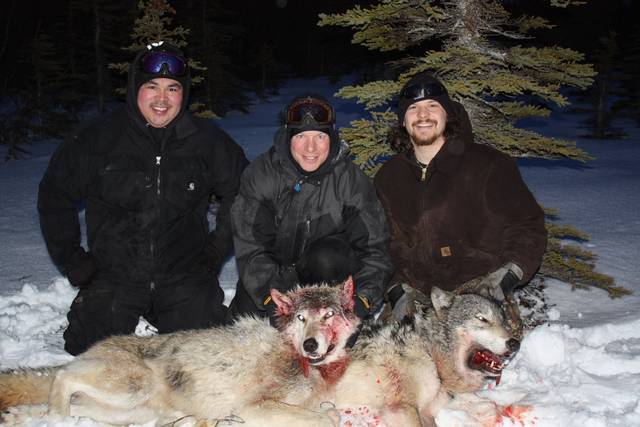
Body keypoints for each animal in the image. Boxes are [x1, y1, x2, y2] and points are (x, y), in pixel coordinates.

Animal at [0, 279, 360, 426]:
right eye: (301, 318)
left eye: (328, 315)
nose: (310, 345)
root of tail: (91, 349)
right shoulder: (253, 408)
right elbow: (327, 417)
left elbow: (327, 410)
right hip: (132, 387)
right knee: (62, 376)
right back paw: (54, 416)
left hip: (126, 411)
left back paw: (21, 416)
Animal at [329, 285, 521, 426]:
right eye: (482, 319)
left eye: (503, 321)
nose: (515, 344)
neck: (429, 352)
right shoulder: (402, 407)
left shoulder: (432, 406)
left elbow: (487, 403)